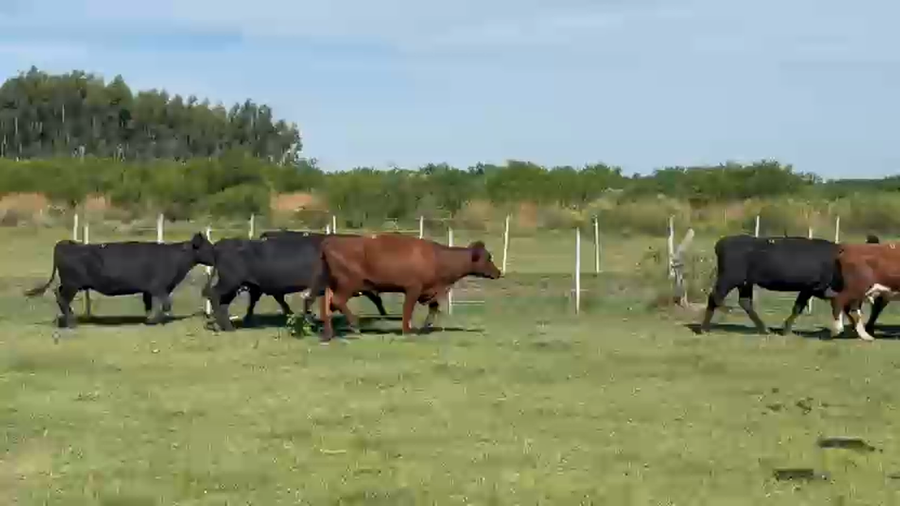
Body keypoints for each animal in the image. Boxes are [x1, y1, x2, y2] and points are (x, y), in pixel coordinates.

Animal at [24, 233, 215, 327]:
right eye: (208, 247)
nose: (216, 256)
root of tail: (66, 243)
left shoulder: (149, 290)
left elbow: (150, 305)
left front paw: (149, 319)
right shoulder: (159, 287)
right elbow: (166, 304)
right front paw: (156, 321)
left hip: (70, 284)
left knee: (58, 295)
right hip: (72, 284)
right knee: (62, 298)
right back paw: (71, 322)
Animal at [202, 233, 388, 332]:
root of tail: (220, 245)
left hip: (236, 284)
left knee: (223, 301)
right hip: (230, 281)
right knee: (213, 294)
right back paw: (226, 325)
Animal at [310, 233, 502, 342]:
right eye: (488, 257)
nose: (498, 272)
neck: (438, 258)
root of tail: (331, 241)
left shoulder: (429, 290)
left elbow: (434, 307)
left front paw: (426, 326)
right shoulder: (413, 288)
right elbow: (408, 309)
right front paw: (408, 330)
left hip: (332, 284)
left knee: (326, 306)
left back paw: (328, 334)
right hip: (348, 284)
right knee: (337, 302)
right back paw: (354, 326)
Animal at [698, 234, 857, 335]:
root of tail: (722, 242)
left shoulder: (816, 290)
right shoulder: (810, 287)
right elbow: (798, 308)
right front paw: (786, 330)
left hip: (745, 283)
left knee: (744, 302)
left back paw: (763, 329)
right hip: (729, 279)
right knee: (715, 296)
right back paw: (705, 327)